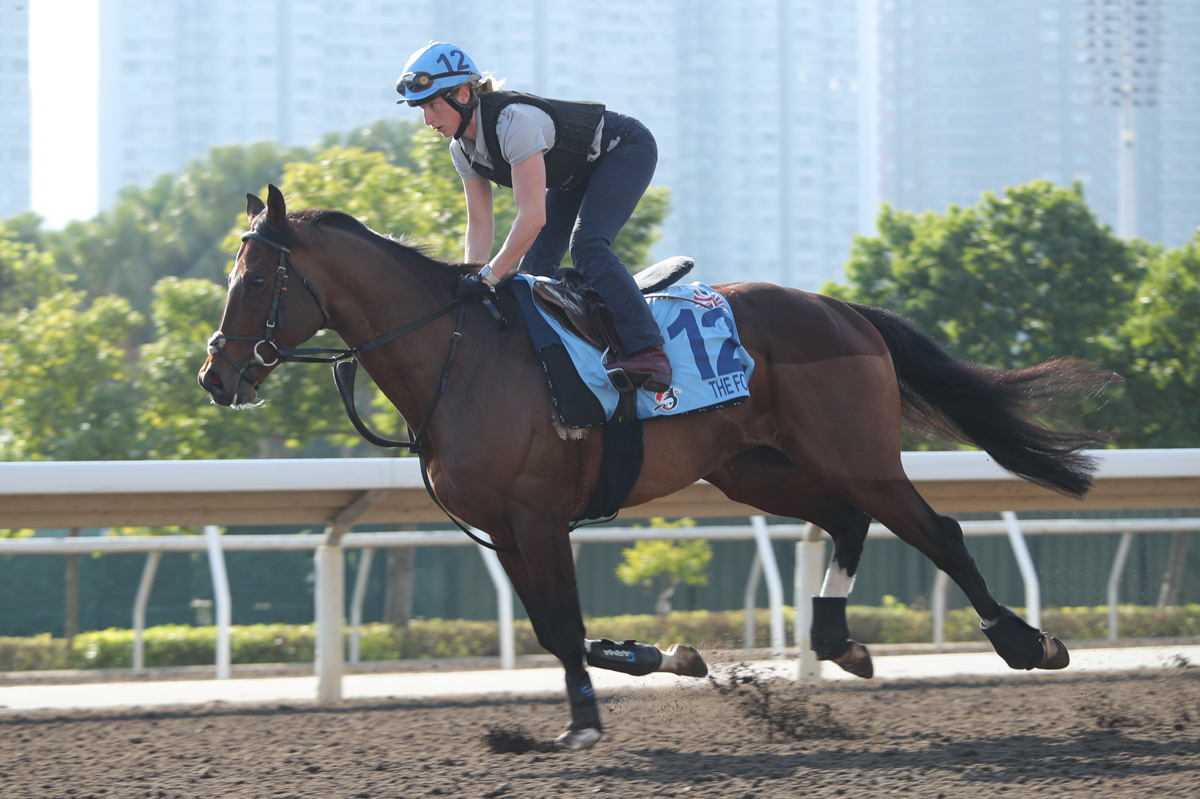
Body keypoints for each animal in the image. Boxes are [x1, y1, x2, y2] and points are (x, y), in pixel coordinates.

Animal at [199, 184, 1113, 748]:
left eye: (257, 279)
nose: (216, 374)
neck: (460, 356)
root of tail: (840, 307)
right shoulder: (503, 527)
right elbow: (554, 629)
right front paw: (666, 656)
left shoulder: (538, 516)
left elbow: (565, 625)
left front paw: (586, 722)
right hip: (754, 465)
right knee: (847, 519)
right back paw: (836, 639)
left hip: (856, 454)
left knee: (938, 529)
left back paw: (1026, 641)